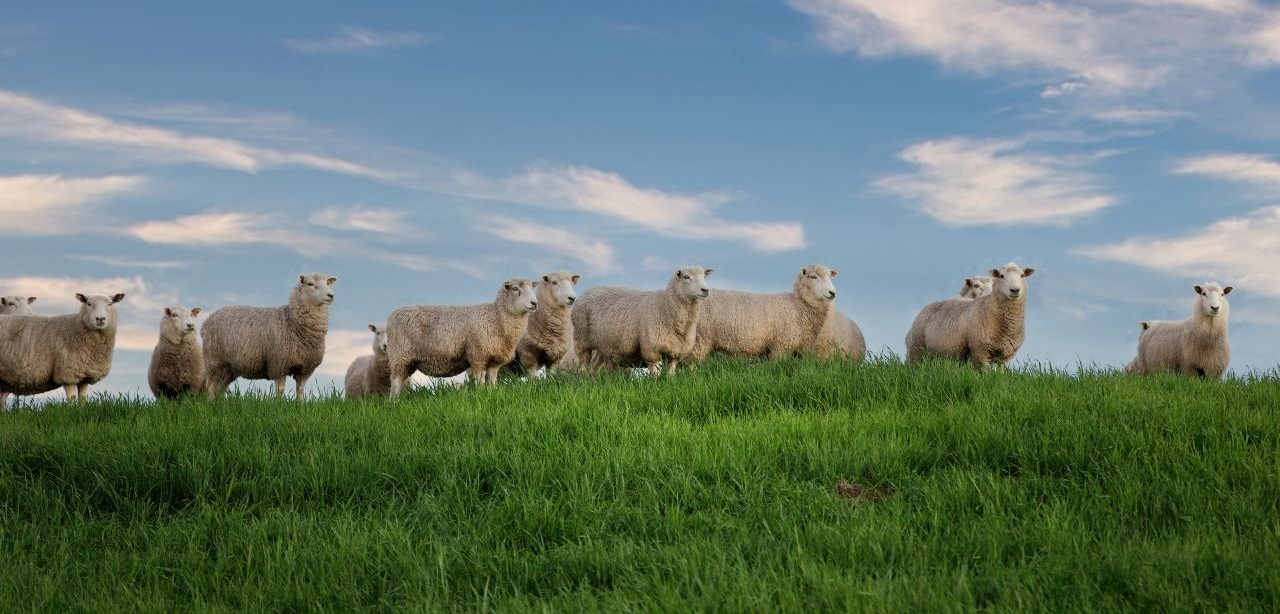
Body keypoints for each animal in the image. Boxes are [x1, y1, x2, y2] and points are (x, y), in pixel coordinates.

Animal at [202, 275, 337, 404]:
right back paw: (210, 404)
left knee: (221, 388)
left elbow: (300, 389)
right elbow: (280, 389)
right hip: (214, 361)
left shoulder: (305, 369)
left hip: (229, 368)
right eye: (310, 284)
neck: (291, 320)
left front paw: (300, 405)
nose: (331, 295)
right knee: (211, 387)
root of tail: (208, 319)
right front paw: (279, 405)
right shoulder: (279, 365)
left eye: (327, 283)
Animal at [381, 276, 537, 396]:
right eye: (515, 289)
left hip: (408, 361)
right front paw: (482, 395)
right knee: (395, 382)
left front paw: (492, 393)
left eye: (531, 288)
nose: (534, 303)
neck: (496, 317)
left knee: (400, 381)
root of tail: (392, 314)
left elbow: (492, 381)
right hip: (400, 356)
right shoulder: (477, 356)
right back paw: (393, 403)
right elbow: (480, 380)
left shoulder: (495, 360)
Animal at [570, 266, 711, 376]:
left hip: (603, 344)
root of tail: (588, 291)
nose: (706, 290)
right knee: (583, 365)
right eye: (686, 277)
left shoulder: (675, 352)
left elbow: (671, 373)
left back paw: (593, 380)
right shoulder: (651, 349)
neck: (666, 306)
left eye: (704, 276)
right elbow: (655, 374)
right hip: (582, 340)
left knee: (595, 365)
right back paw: (584, 380)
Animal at [691, 262, 839, 360]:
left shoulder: (802, 349)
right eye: (813, 276)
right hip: (700, 338)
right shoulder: (781, 345)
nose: (833, 292)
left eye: (830, 277)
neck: (797, 306)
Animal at [906, 259, 1034, 365]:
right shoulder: (980, 351)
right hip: (916, 352)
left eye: (1022, 275)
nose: (1015, 290)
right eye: (1001, 276)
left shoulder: (1005, 354)